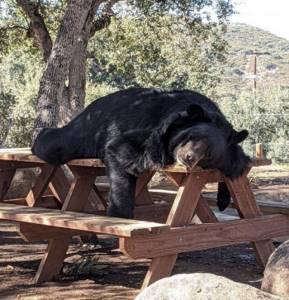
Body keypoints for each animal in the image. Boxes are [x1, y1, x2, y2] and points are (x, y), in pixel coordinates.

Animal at [31, 86, 249, 218]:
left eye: (208, 155)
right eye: (191, 136)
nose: (188, 158)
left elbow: (237, 164)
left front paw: (224, 199)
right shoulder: (152, 131)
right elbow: (120, 150)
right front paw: (119, 214)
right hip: (86, 129)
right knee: (55, 144)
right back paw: (39, 136)